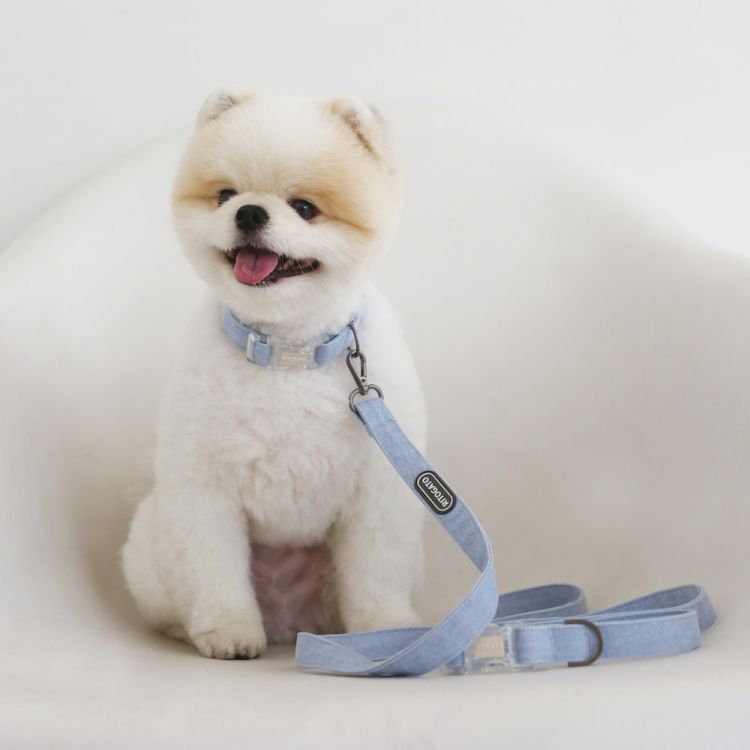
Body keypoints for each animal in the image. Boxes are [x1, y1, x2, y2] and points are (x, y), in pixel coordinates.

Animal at [121, 89, 427, 659]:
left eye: (305, 208)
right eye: (225, 195)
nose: (248, 211)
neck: (287, 353)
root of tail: (290, 622)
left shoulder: (379, 495)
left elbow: (377, 572)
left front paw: (385, 628)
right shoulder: (205, 490)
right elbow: (214, 569)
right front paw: (227, 630)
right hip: (152, 536)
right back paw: (188, 627)